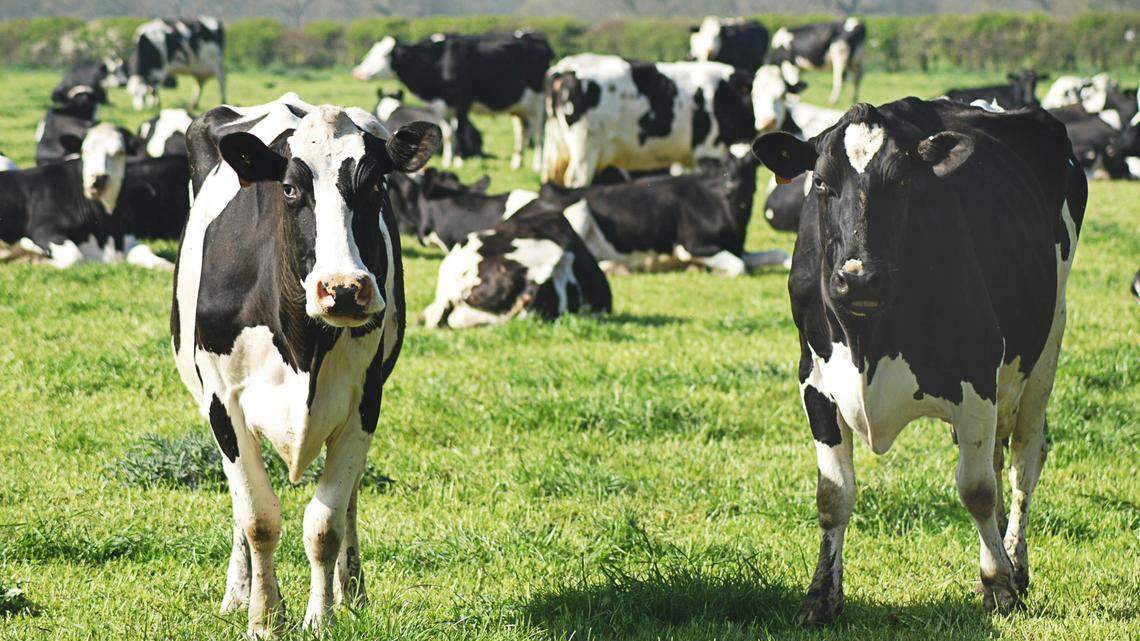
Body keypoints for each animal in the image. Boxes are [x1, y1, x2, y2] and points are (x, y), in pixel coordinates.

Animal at [171, 93, 440, 635]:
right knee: (240, 507)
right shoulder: (222, 403)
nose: (344, 288)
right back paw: (238, 592)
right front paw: (264, 617)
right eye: (291, 188)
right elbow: (257, 517)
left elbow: (324, 523)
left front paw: (321, 618)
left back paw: (351, 590)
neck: (303, 346)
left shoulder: (364, 402)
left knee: (350, 496)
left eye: (376, 185)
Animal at [352, 30, 552, 170]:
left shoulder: (462, 103)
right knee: (522, 131)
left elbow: (460, 131)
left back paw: (537, 165)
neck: (438, 60)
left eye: (383, 55)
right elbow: (448, 134)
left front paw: (459, 162)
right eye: (371, 52)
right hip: (519, 107)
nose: (358, 73)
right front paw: (448, 161)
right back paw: (517, 162)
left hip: (538, 101)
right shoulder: (441, 107)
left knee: (538, 132)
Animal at [537, 151, 787, 276]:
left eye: (749, 167)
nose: (731, 187)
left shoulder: (738, 248)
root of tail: (553, 189)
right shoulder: (692, 245)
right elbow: (739, 267)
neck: (732, 218)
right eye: (722, 168)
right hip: (578, 211)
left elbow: (779, 254)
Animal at [752, 98, 1086, 624]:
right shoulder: (815, 383)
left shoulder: (976, 376)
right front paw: (821, 596)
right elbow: (833, 495)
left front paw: (999, 585)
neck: (867, 338)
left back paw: (1017, 564)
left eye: (904, 181)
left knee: (1023, 462)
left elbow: (976, 489)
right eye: (821, 182)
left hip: (1047, 343)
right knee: (998, 460)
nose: (859, 278)